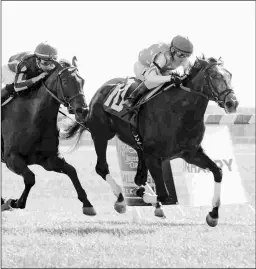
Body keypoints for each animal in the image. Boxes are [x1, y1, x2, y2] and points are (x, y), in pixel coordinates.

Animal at [1, 59, 96, 216]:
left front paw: (87, 204)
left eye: (82, 81)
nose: (83, 111)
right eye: (65, 81)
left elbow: (72, 171)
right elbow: (30, 178)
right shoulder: (11, 158)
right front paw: (15, 202)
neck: (32, 119)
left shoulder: (49, 159)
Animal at [61, 55, 238, 225]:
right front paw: (144, 196)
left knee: (138, 177)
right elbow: (165, 195)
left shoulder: (191, 153)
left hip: (138, 147)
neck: (179, 112)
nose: (232, 103)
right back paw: (121, 201)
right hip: (101, 134)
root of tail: (99, 92)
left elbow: (218, 171)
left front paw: (213, 215)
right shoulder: (153, 157)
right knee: (102, 168)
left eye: (229, 75)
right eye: (214, 75)